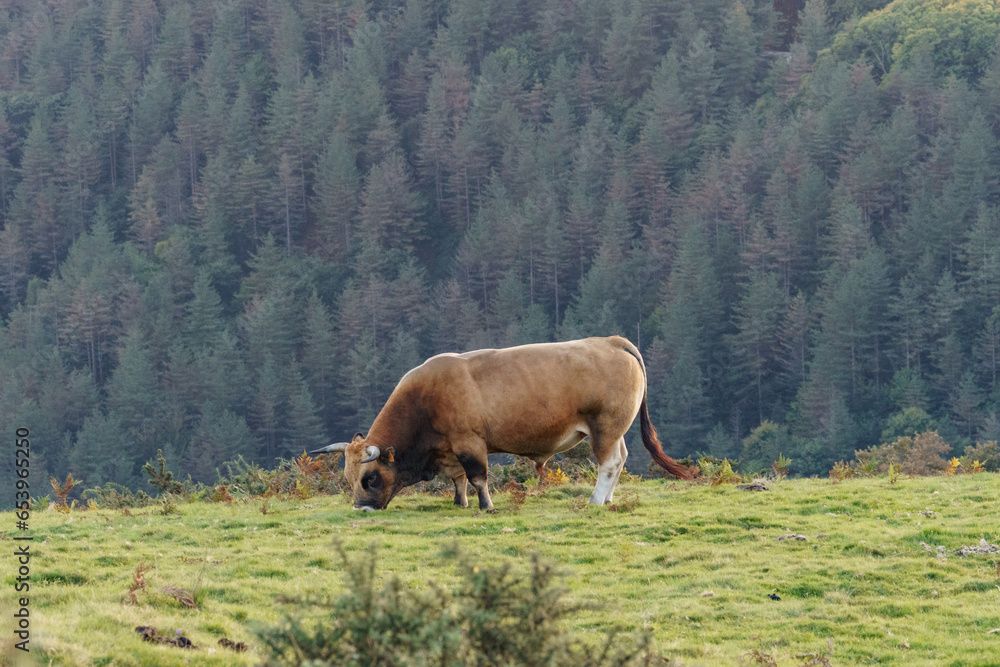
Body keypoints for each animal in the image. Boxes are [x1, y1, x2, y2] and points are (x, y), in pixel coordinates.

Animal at [310, 336, 688, 516]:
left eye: (369, 478)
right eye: (348, 479)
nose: (361, 508)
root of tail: (609, 340)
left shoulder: (470, 443)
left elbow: (478, 476)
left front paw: (486, 506)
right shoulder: (450, 449)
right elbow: (458, 478)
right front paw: (459, 502)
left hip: (605, 428)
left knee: (608, 463)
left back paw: (596, 500)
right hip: (613, 431)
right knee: (620, 459)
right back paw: (607, 500)